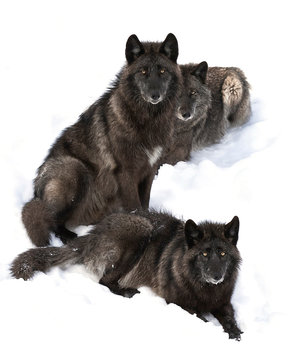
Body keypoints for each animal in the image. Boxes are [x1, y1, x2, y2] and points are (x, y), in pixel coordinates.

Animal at [10, 210, 241, 338]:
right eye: (204, 253)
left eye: (222, 253)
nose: (217, 276)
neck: (204, 289)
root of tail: (93, 233)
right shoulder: (177, 303)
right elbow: (202, 319)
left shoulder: (223, 302)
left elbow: (230, 320)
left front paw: (235, 333)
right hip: (141, 230)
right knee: (104, 281)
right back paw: (127, 292)